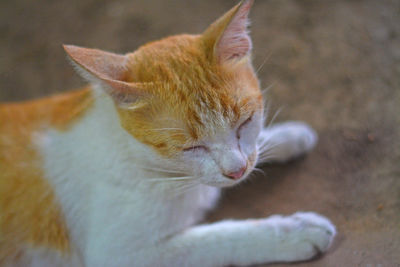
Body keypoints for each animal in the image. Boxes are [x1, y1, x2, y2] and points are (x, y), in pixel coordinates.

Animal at [0, 1, 336, 266]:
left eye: (245, 122)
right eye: (191, 147)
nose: (237, 171)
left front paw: (288, 135)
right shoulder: (122, 254)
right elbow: (217, 239)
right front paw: (294, 231)